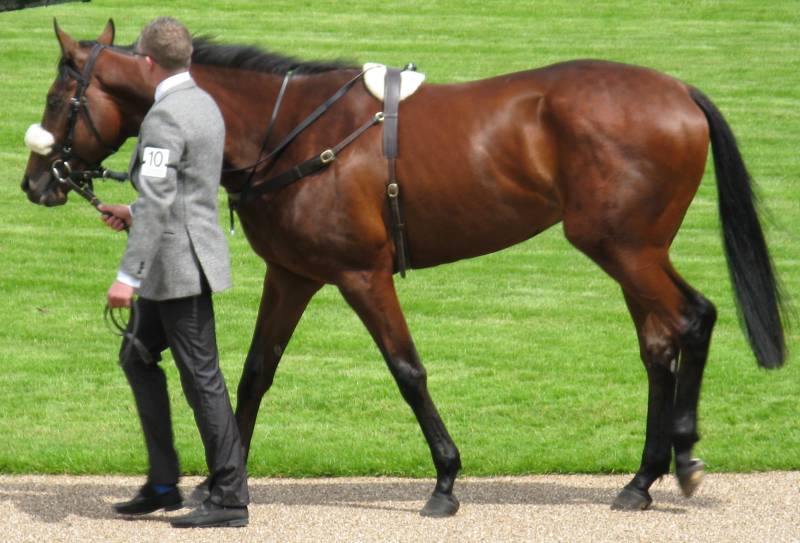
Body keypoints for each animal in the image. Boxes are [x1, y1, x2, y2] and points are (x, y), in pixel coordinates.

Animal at [21, 20, 785, 516]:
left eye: (58, 101)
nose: (34, 182)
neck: (290, 128)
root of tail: (679, 91)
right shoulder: (293, 275)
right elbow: (256, 371)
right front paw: (220, 481)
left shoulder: (363, 274)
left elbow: (407, 369)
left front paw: (445, 479)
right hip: (631, 250)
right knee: (659, 342)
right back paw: (644, 477)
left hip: (622, 247)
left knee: (693, 318)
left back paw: (683, 453)